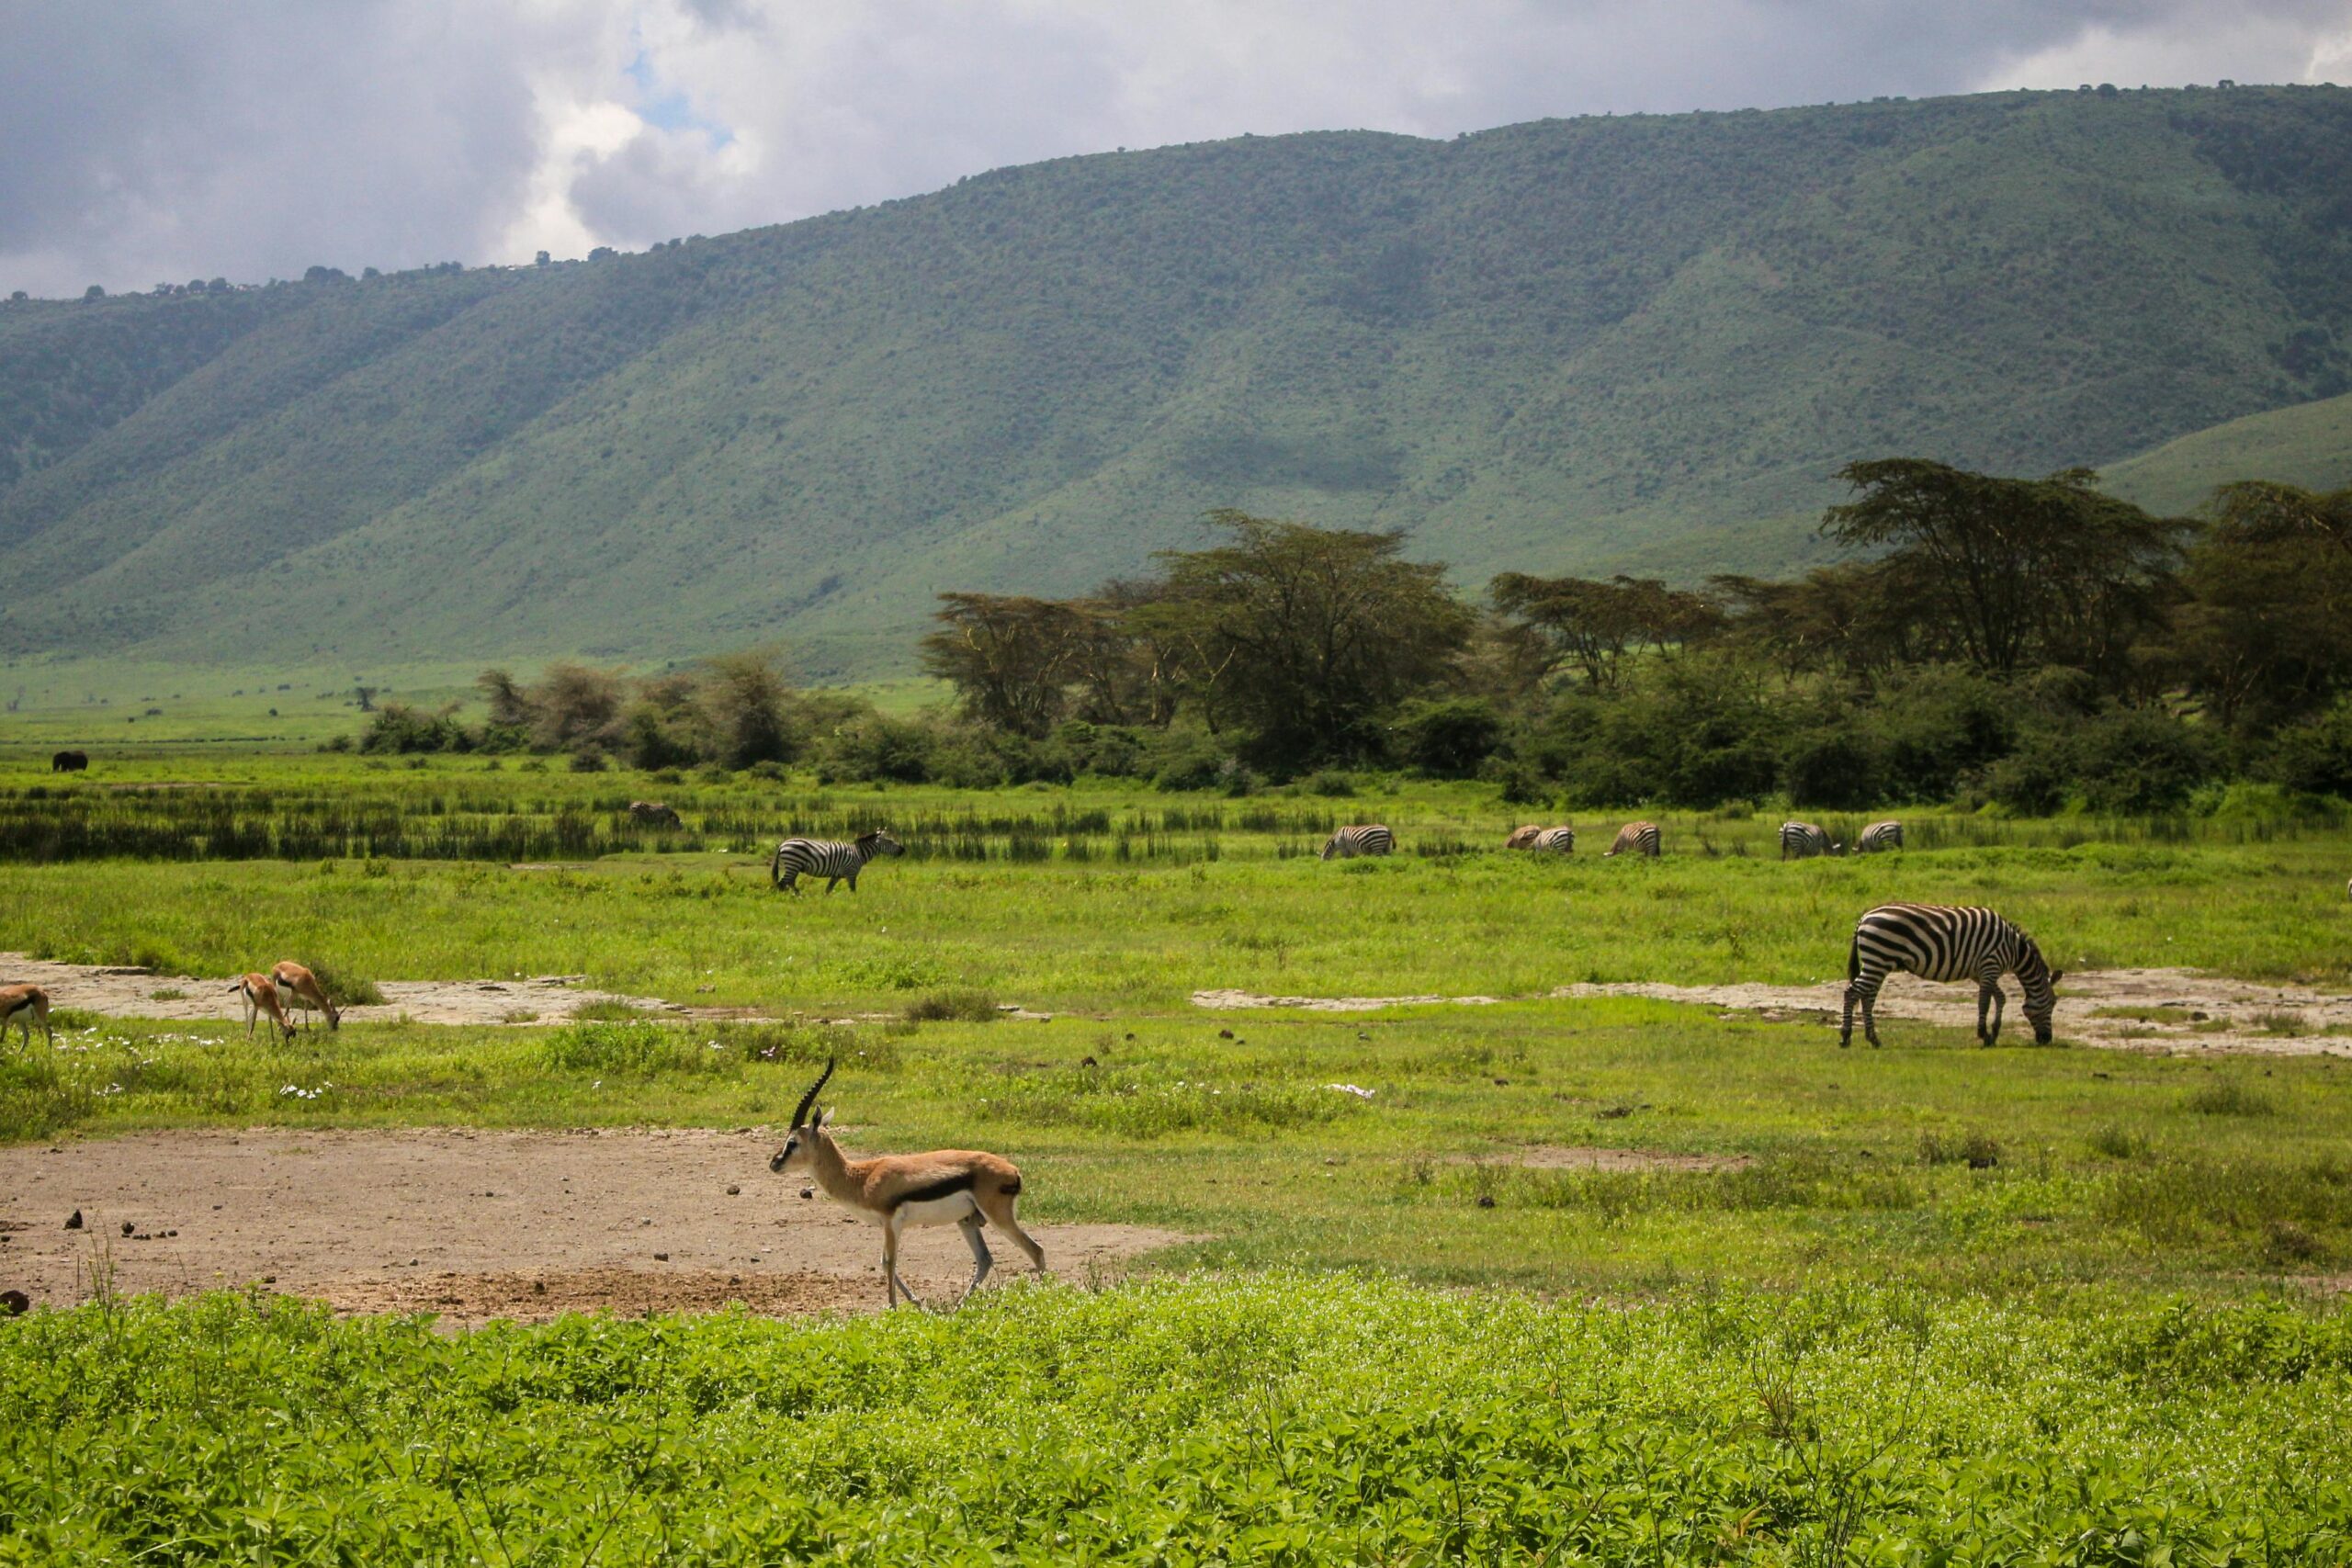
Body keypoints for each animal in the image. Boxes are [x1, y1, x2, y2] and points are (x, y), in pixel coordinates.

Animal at [766, 831, 903, 893]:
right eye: (890, 842)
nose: (903, 849)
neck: (859, 853)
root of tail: (782, 844)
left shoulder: (836, 875)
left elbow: (828, 889)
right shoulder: (851, 873)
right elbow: (853, 890)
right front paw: (855, 903)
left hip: (795, 866)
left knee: (790, 883)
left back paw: (798, 895)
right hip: (793, 863)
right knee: (782, 883)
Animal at [766, 1062, 1044, 1306]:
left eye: (792, 1142)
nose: (774, 1163)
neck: (862, 1177)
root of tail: (1013, 1171)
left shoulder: (892, 1223)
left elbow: (889, 1262)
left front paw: (893, 1309)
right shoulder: (885, 1225)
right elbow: (882, 1262)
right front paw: (918, 1304)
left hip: (998, 1217)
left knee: (1035, 1250)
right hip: (966, 1221)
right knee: (985, 1260)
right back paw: (957, 1307)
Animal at [1834, 902, 2060, 1048]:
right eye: (2052, 1004)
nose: (2047, 1040)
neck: (2014, 950)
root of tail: (1864, 918)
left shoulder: (1980, 972)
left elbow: (2000, 997)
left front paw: (1993, 1033)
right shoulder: (1990, 965)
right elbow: (1984, 1002)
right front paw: (1983, 1033)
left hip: (1877, 962)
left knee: (1867, 997)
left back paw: (1873, 1038)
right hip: (1878, 958)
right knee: (1851, 992)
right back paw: (1845, 1036)